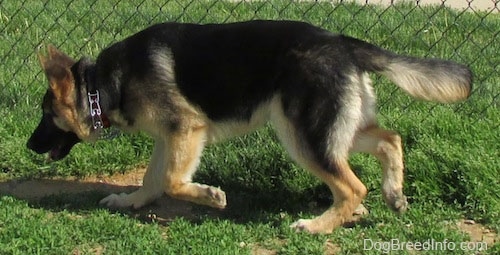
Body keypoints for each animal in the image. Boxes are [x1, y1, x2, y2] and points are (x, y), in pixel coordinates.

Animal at [27, 20, 472, 234]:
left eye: (47, 115)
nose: (29, 146)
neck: (100, 85)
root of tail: (344, 42)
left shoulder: (187, 130)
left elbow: (171, 181)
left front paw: (209, 196)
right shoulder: (170, 137)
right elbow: (153, 180)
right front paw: (130, 201)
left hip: (303, 136)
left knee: (352, 185)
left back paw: (317, 226)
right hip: (333, 130)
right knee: (389, 140)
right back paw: (393, 195)